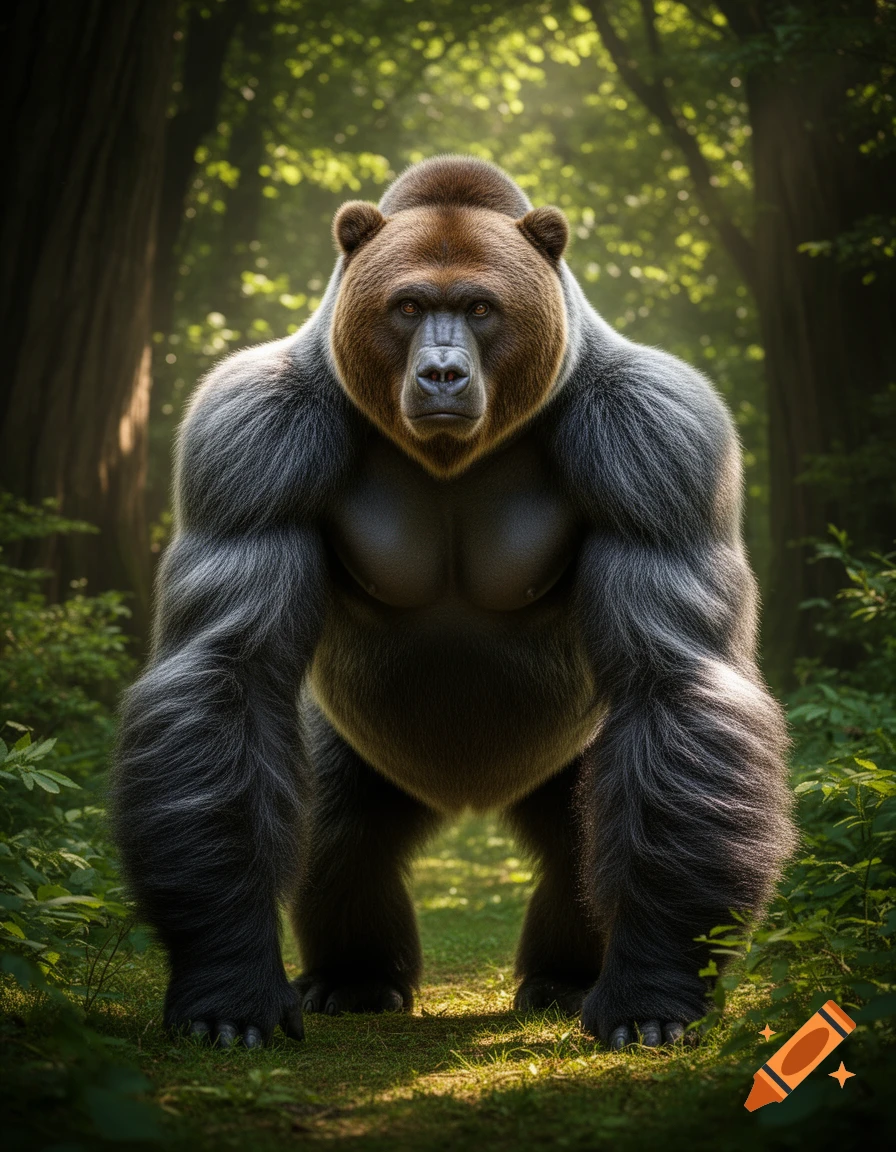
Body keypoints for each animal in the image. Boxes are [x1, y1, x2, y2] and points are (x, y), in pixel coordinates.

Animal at [112, 155, 794, 1051]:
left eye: (479, 308)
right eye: (407, 306)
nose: (442, 373)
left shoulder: (660, 437)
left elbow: (676, 683)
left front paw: (655, 984)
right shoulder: (250, 433)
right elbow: (226, 671)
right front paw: (227, 980)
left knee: (582, 833)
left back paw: (565, 975)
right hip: (356, 743)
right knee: (341, 829)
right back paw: (357, 976)